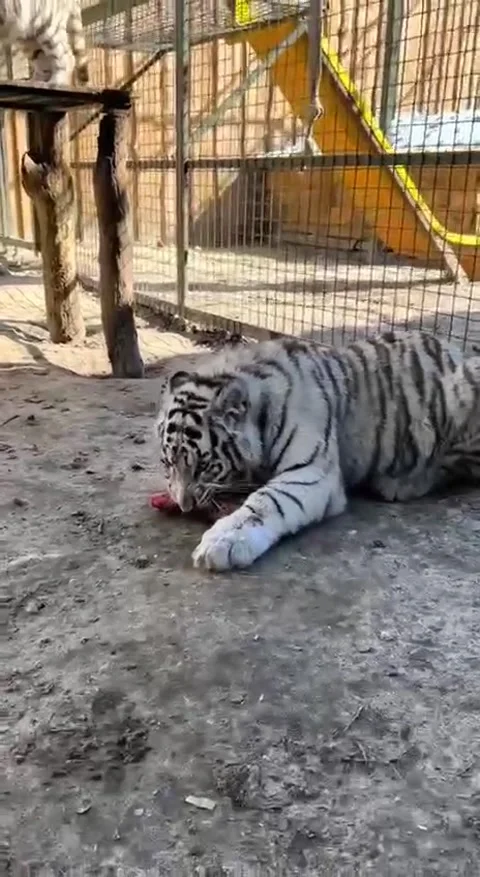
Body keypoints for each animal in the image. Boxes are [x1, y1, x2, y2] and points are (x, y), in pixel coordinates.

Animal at [155, 330, 480, 572]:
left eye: (203, 466)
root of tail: (459, 350)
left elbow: (266, 502)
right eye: (168, 464)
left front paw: (221, 542)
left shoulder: (311, 471)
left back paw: (398, 483)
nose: (184, 506)